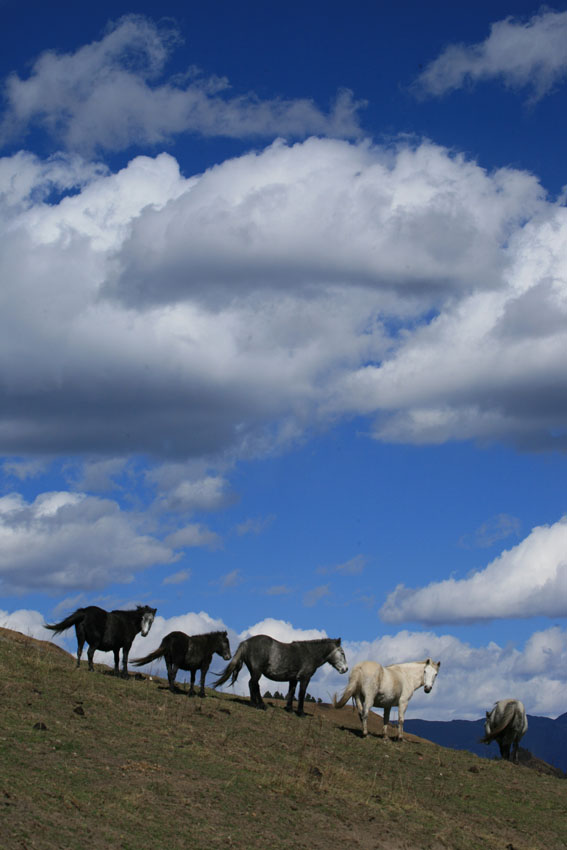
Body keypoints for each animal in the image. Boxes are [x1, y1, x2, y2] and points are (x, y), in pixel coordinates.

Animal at [212, 632, 348, 712]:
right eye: (342, 653)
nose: (345, 669)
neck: (309, 654)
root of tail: (246, 643)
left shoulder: (293, 679)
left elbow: (291, 692)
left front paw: (289, 709)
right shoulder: (305, 678)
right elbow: (301, 694)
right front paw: (301, 712)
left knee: (254, 685)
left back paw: (257, 703)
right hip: (257, 671)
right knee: (253, 684)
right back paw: (258, 705)